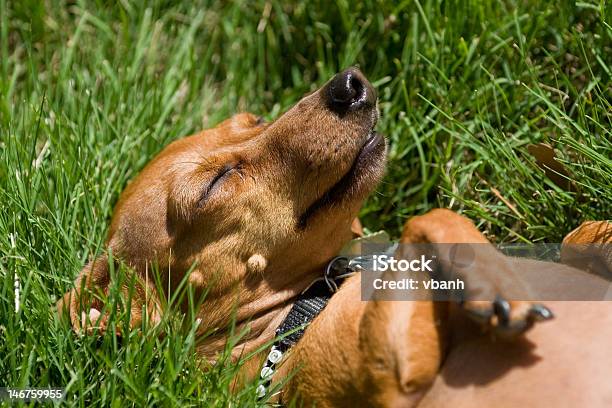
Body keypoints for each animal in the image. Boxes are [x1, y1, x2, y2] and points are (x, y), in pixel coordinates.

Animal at [57, 68, 612, 406]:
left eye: (257, 119)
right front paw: (498, 284)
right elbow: (428, 218)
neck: (309, 300)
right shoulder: (393, 376)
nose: (349, 83)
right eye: (214, 185)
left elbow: (578, 235)